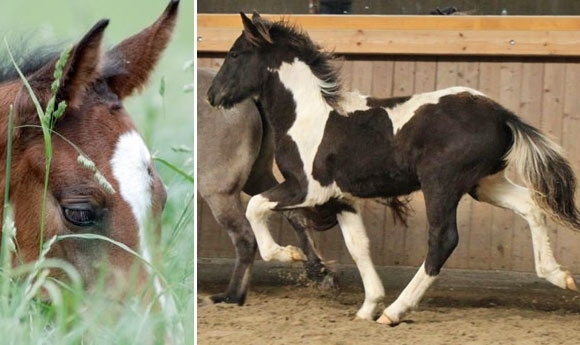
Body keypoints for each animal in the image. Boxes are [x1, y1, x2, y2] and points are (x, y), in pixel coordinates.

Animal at [211, 12, 580, 326]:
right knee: (532, 205)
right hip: (484, 183)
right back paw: (559, 276)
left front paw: (287, 255)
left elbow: (256, 205)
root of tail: (501, 114)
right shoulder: (342, 197)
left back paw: (395, 312)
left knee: (443, 239)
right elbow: (358, 245)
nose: (213, 96)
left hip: (441, 183)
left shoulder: (308, 188)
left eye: (235, 55)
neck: (308, 116)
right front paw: (367, 307)